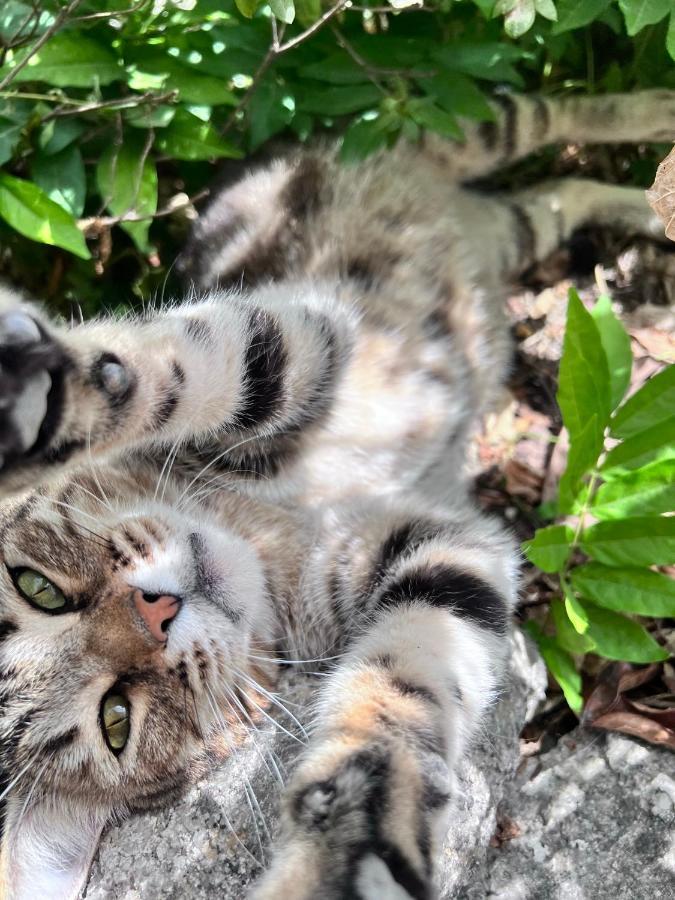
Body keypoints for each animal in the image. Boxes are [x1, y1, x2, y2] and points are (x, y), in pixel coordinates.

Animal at [0, 86, 672, 900]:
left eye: (36, 587)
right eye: (117, 719)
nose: (156, 611)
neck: (265, 526)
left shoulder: (294, 339)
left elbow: (176, 366)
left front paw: (47, 398)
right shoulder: (444, 545)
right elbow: (403, 680)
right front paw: (355, 828)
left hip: (448, 136)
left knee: (569, 116)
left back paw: (655, 124)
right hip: (509, 231)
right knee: (555, 195)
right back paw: (644, 208)